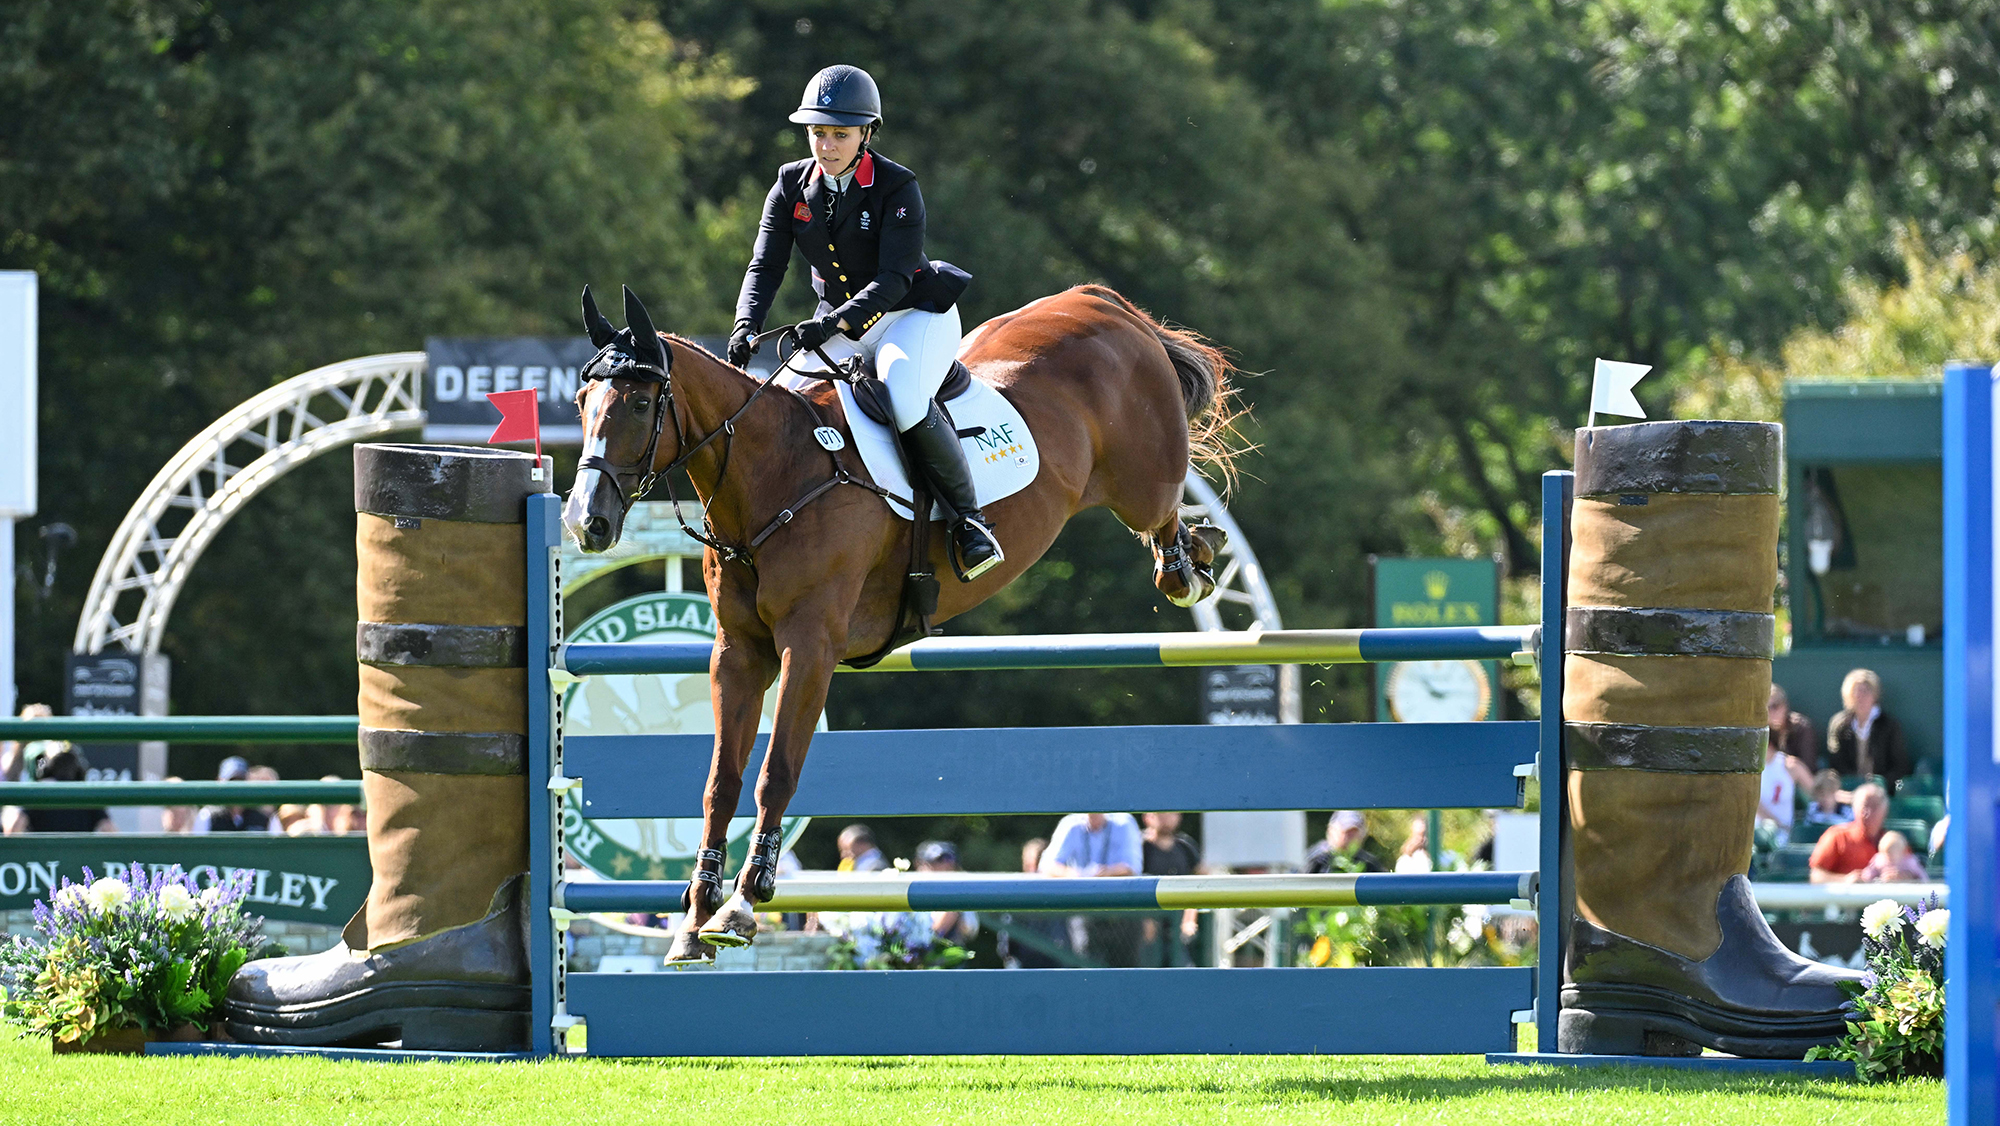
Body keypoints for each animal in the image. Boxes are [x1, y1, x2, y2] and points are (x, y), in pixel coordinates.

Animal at [563, 283, 1238, 960]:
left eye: (641, 402)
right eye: (581, 402)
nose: (584, 523)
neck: (771, 474)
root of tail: (1099, 300)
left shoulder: (810, 645)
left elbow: (775, 773)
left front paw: (743, 904)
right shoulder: (738, 653)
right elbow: (720, 781)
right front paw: (695, 918)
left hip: (1141, 481)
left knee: (1166, 512)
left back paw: (1190, 565)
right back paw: (1200, 550)